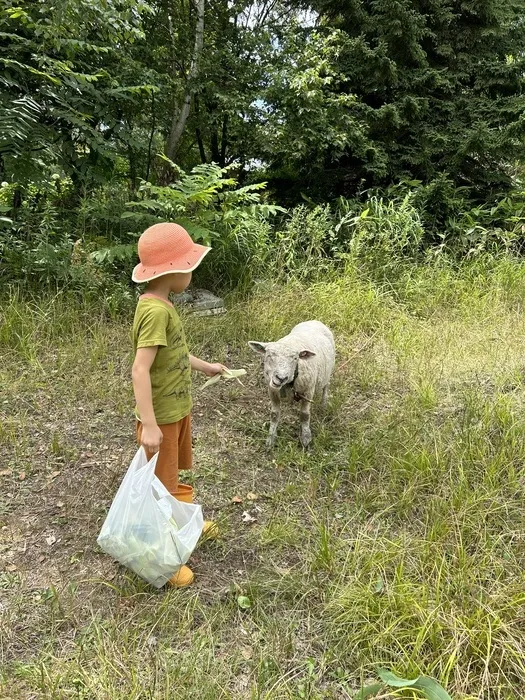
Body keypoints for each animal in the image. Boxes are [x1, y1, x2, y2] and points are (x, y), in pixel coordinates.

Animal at [247, 318, 336, 446]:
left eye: (295, 358)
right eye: (269, 355)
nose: (281, 378)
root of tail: (314, 320)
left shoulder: (309, 390)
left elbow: (305, 415)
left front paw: (305, 437)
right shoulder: (272, 390)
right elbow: (274, 414)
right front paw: (271, 438)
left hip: (328, 370)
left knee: (326, 387)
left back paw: (323, 405)